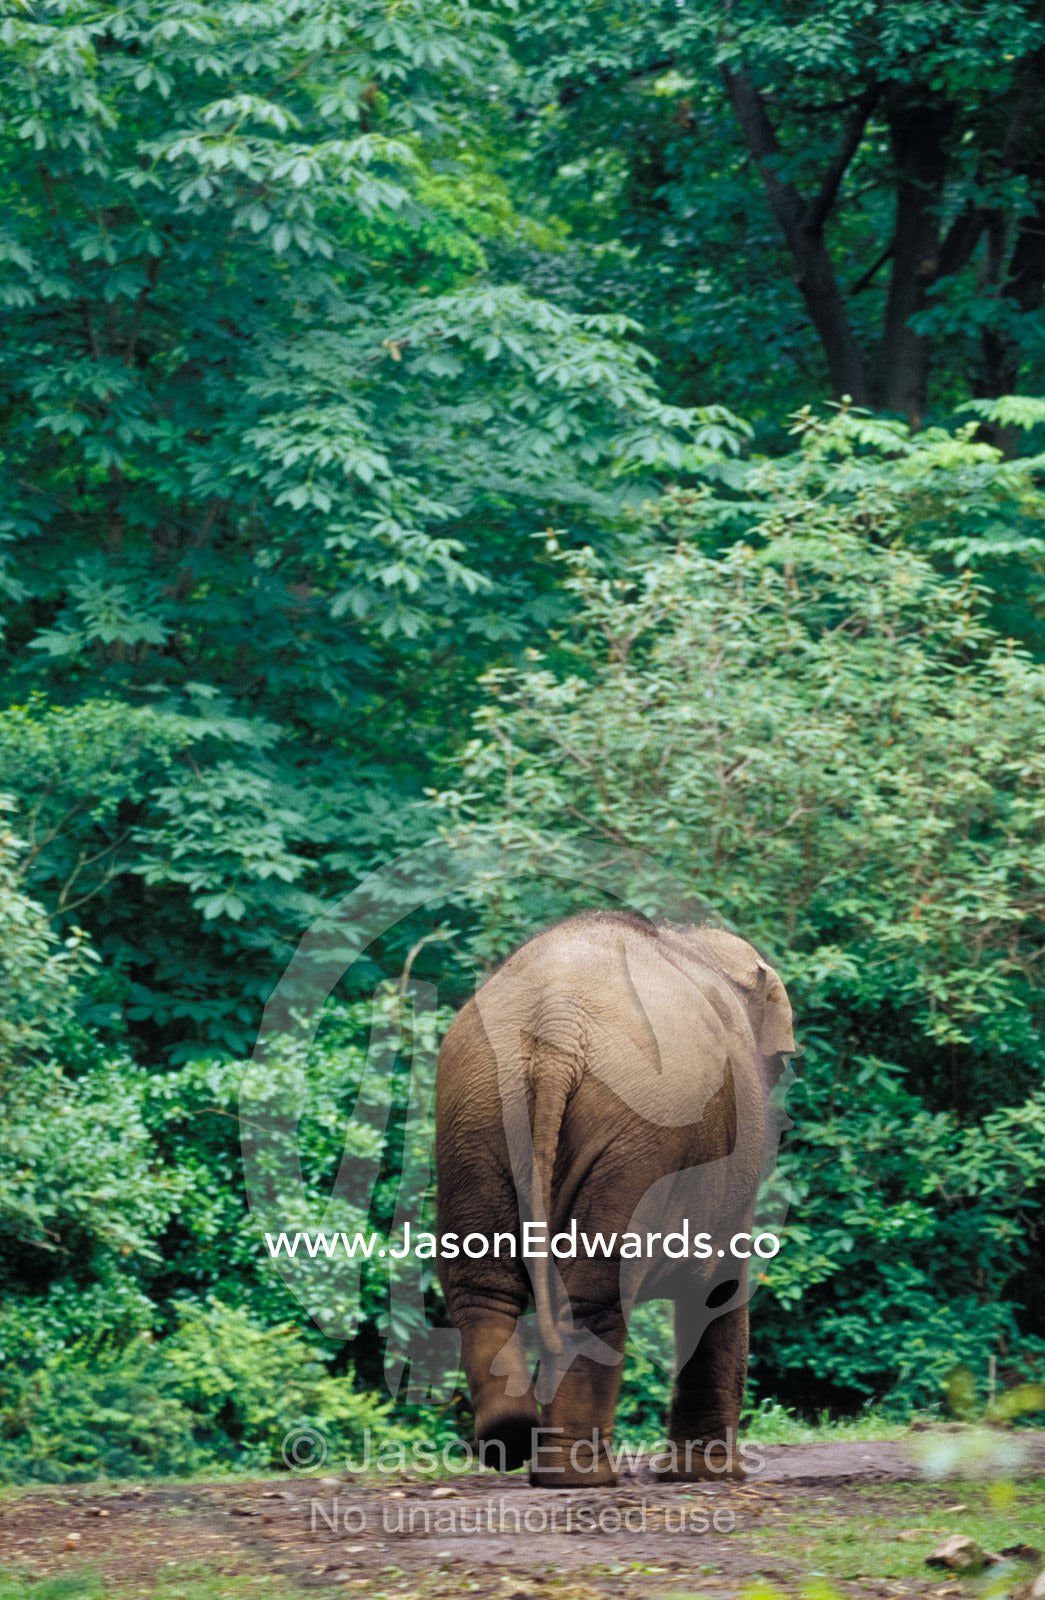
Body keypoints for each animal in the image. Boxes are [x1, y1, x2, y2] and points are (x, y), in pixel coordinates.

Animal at [435, 908, 796, 1488]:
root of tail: (556, 1024)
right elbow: (720, 1287)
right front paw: (708, 1476)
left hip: (474, 1110)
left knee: (481, 1286)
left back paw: (513, 1440)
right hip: (631, 1127)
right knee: (594, 1296)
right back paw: (581, 1476)